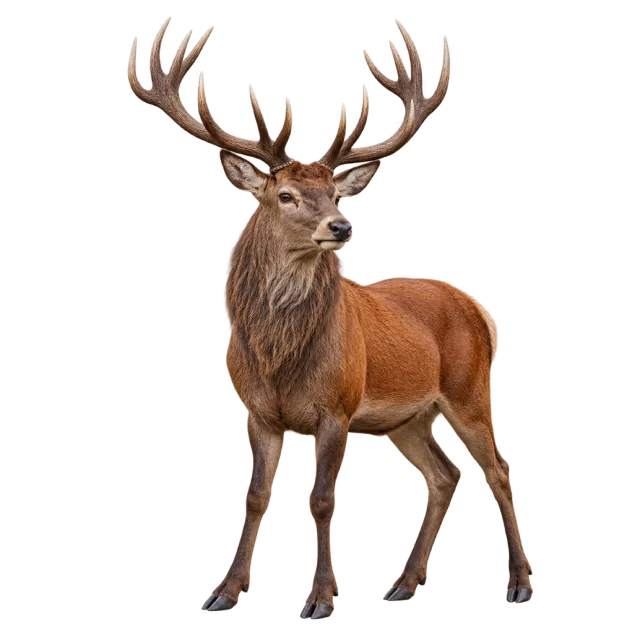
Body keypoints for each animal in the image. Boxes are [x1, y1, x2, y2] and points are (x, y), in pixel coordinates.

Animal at [127, 17, 534, 618]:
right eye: (286, 195)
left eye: (338, 194)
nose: (341, 226)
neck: (279, 361)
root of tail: (479, 309)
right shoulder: (256, 409)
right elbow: (255, 496)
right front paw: (224, 593)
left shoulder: (337, 406)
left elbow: (320, 499)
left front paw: (321, 598)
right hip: (407, 418)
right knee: (445, 475)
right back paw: (401, 586)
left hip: (469, 390)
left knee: (499, 473)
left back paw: (520, 584)